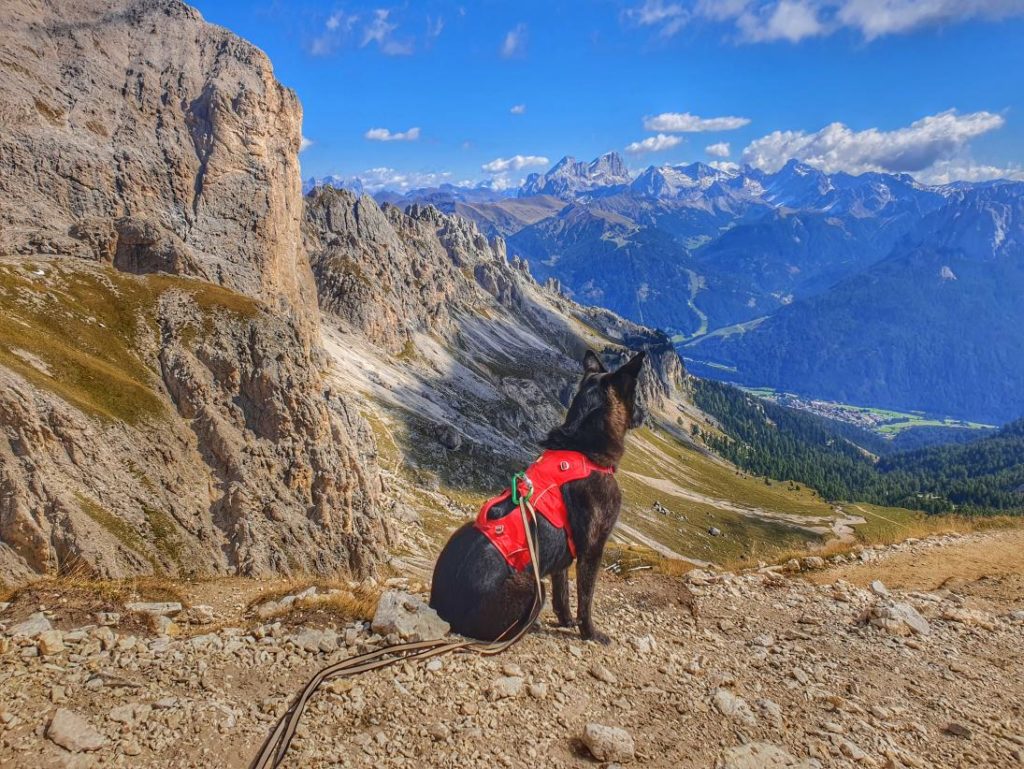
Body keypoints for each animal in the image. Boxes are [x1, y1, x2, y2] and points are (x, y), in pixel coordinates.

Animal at [428, 352, 643, 647]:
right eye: (635, 396)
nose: (644, 415)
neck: (583, 447)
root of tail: (445, 613)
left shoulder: (563, 557)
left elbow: (562, 593)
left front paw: (566, 621)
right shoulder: (592, 549)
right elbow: (585, 600)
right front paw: (590, 633)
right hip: (532, 582)